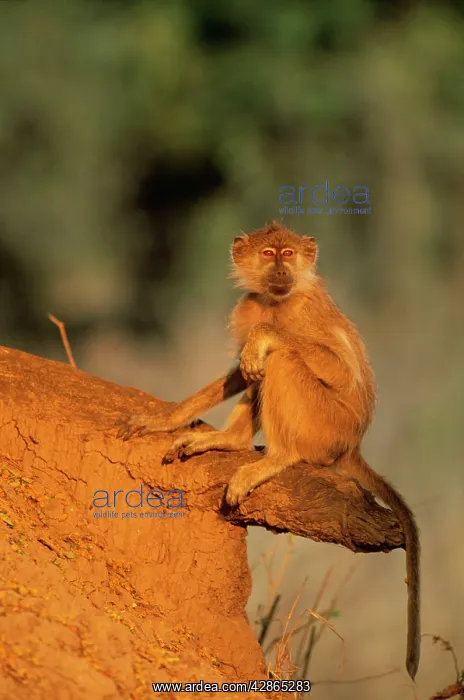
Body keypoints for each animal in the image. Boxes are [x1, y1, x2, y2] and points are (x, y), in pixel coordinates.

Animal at [115, 221, 420, 680]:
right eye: (268, 253)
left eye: (288, 253)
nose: (281, 270)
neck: (278, 303)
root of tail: (351, 446)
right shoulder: (251, 307)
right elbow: (240, 373)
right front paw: (165, 421)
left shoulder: (303, 314)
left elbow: (330, 366)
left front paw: (266, 338)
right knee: (260, 369)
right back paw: (231, 441)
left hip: (322, 427)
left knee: (281, 360)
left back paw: (276, 457)